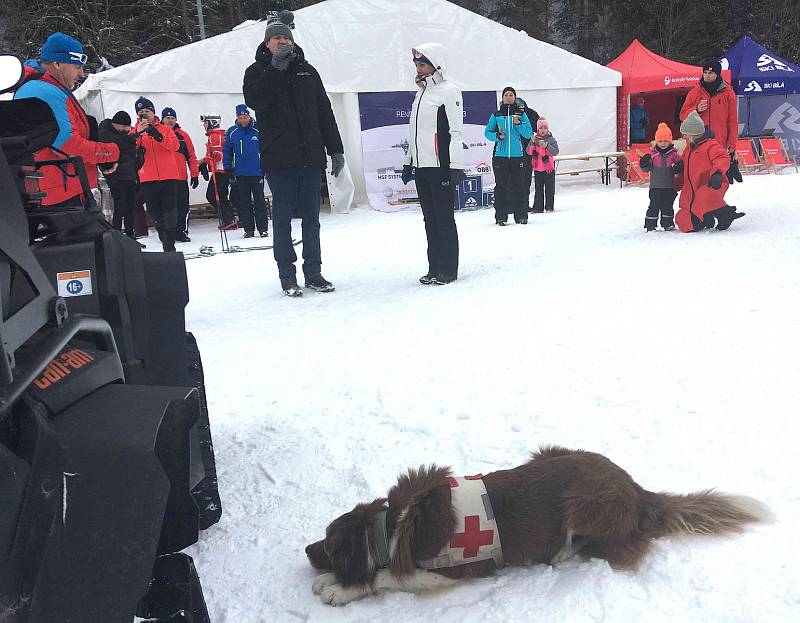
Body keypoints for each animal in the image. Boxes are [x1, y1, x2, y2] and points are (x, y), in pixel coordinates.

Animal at [304, 446, 768, 608]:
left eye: (328, 543)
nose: (306, 551)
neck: (391, 529)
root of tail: (638, 491)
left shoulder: (457, 570)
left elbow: (388, 578)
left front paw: (340, 588)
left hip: (585, 499)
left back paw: (561, 553)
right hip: (550, 452)